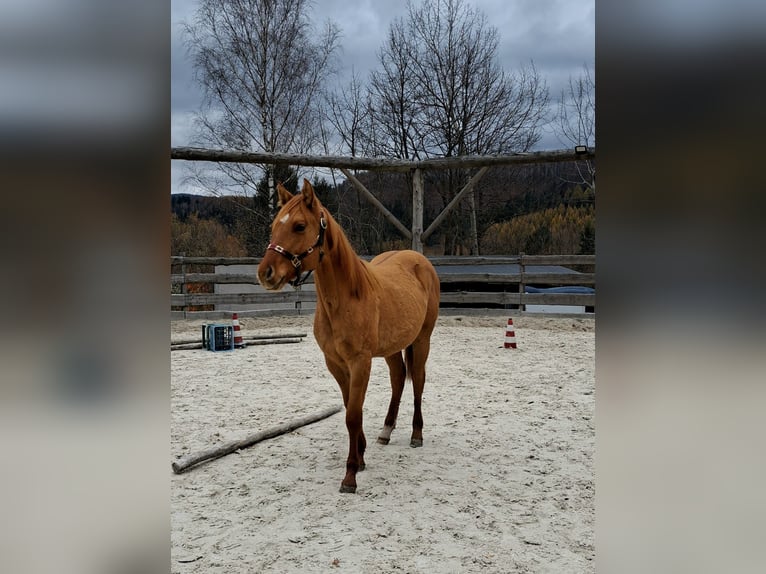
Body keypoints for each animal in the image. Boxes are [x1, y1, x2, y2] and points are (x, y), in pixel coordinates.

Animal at [257, 179, 440, 493]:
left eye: (299, 226)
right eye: (273, 226)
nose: (265, 273)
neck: (346, 298)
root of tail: (419, 260)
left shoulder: (360, 362)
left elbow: (353, 415)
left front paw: (351, 474)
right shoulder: (335, 363)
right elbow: (350, 410)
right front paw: (362, 456)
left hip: (422, 340)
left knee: (417, 380)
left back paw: (416, 434)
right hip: (392, 347)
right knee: (398, 379)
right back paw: (386, 431)